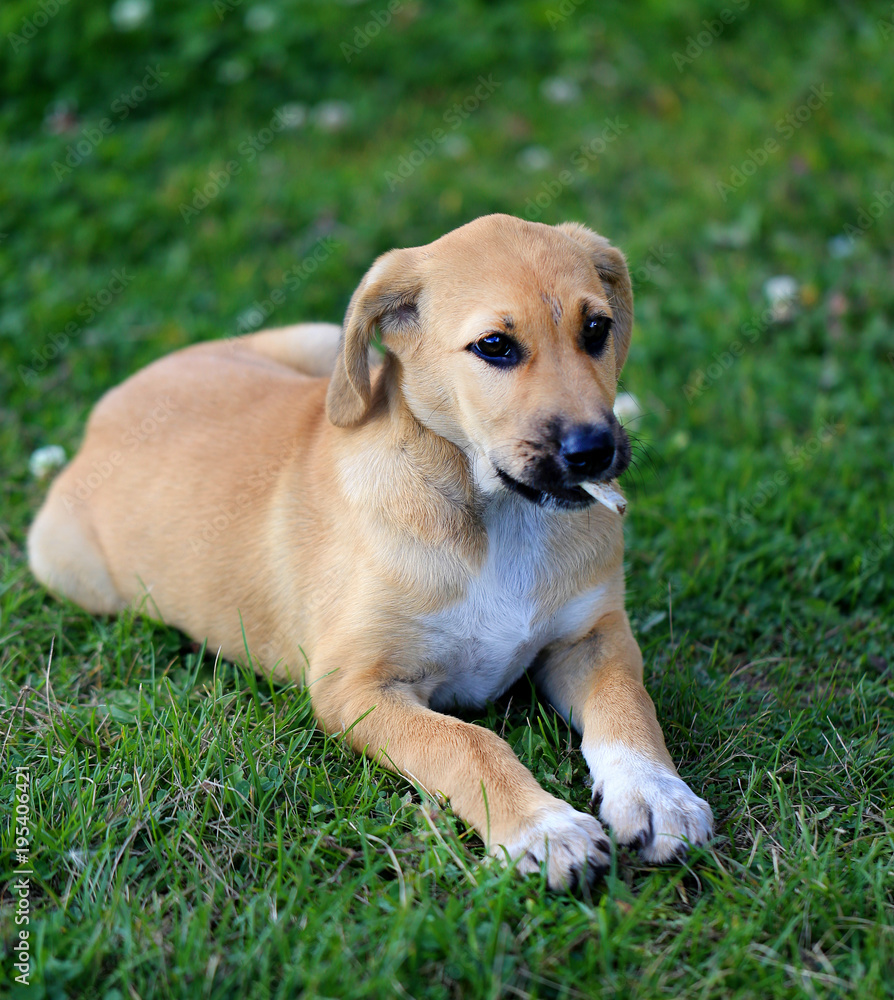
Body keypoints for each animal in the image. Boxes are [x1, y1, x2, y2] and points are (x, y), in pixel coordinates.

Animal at [28, 215, 712, 888]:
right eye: (494, 346)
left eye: (596, 328)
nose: (594, 451)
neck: (497, 517)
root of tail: (103, 415)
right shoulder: (355, 688)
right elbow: (468, 744)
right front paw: (542, 828)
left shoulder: (594, 637)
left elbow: (628, 708)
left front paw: (658, 795)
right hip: (69, 570)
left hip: (317, 340)